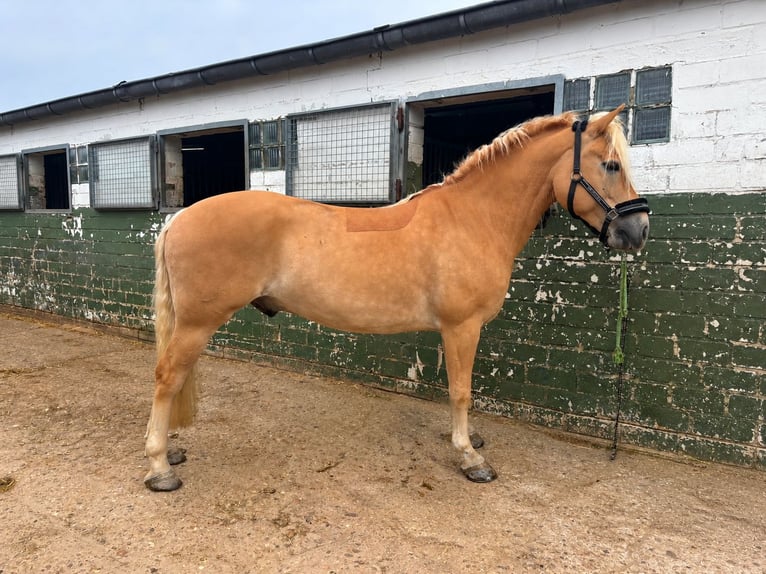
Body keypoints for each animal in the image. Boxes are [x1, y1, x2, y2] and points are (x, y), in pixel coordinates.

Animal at [144, 105, 650, 491]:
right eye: (611, 165)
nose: (638, 231)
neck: (473, 218)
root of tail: (179, 218)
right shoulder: (461, 325)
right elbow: (462, 391)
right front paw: (470, 458)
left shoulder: (460, 330)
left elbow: (460, 387)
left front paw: (471, 440)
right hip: (196, 324)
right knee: (167, 378)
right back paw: (160, 467)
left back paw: (172, 451)